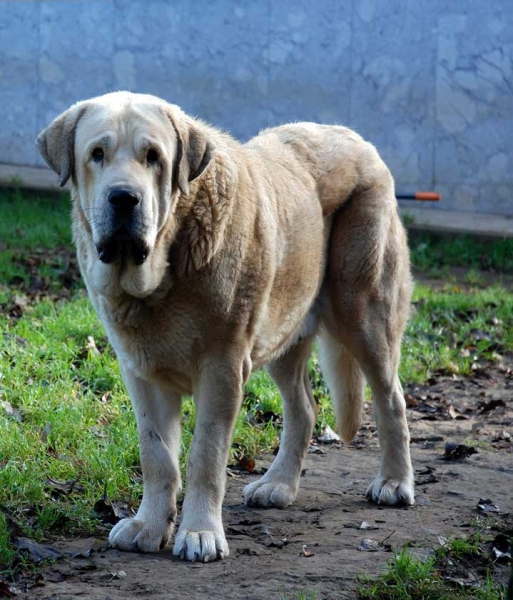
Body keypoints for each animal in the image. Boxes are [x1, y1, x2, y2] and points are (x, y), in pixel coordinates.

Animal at [35, 92, 412, 564]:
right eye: (97, 154)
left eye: (153, 157)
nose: (124, 197)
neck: (161, 277)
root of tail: (355, 137)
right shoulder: (141, 375)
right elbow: (156, 454)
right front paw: (149, 525)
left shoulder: (222, 369)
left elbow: (206, 456)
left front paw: (199, 533)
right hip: (284, 329)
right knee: (303, 409)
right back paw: (278, 484)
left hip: (364, 314)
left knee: (391, 399)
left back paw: (395, 482)